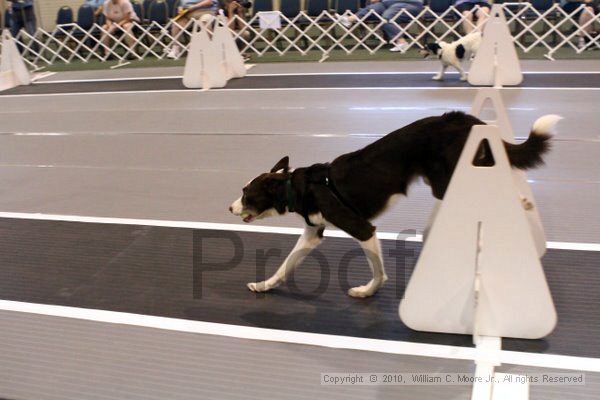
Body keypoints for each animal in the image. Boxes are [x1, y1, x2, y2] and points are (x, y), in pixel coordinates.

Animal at [227, 111, 560, 296]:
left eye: (246, 193)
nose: (229, 208)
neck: (298, 187)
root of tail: (458, 118)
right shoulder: (312, 234)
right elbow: (285, 266)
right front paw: (263, 285)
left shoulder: (363, 229)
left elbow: (378, 271)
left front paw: (367, 292)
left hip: (449, 179)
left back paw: (522, 203)